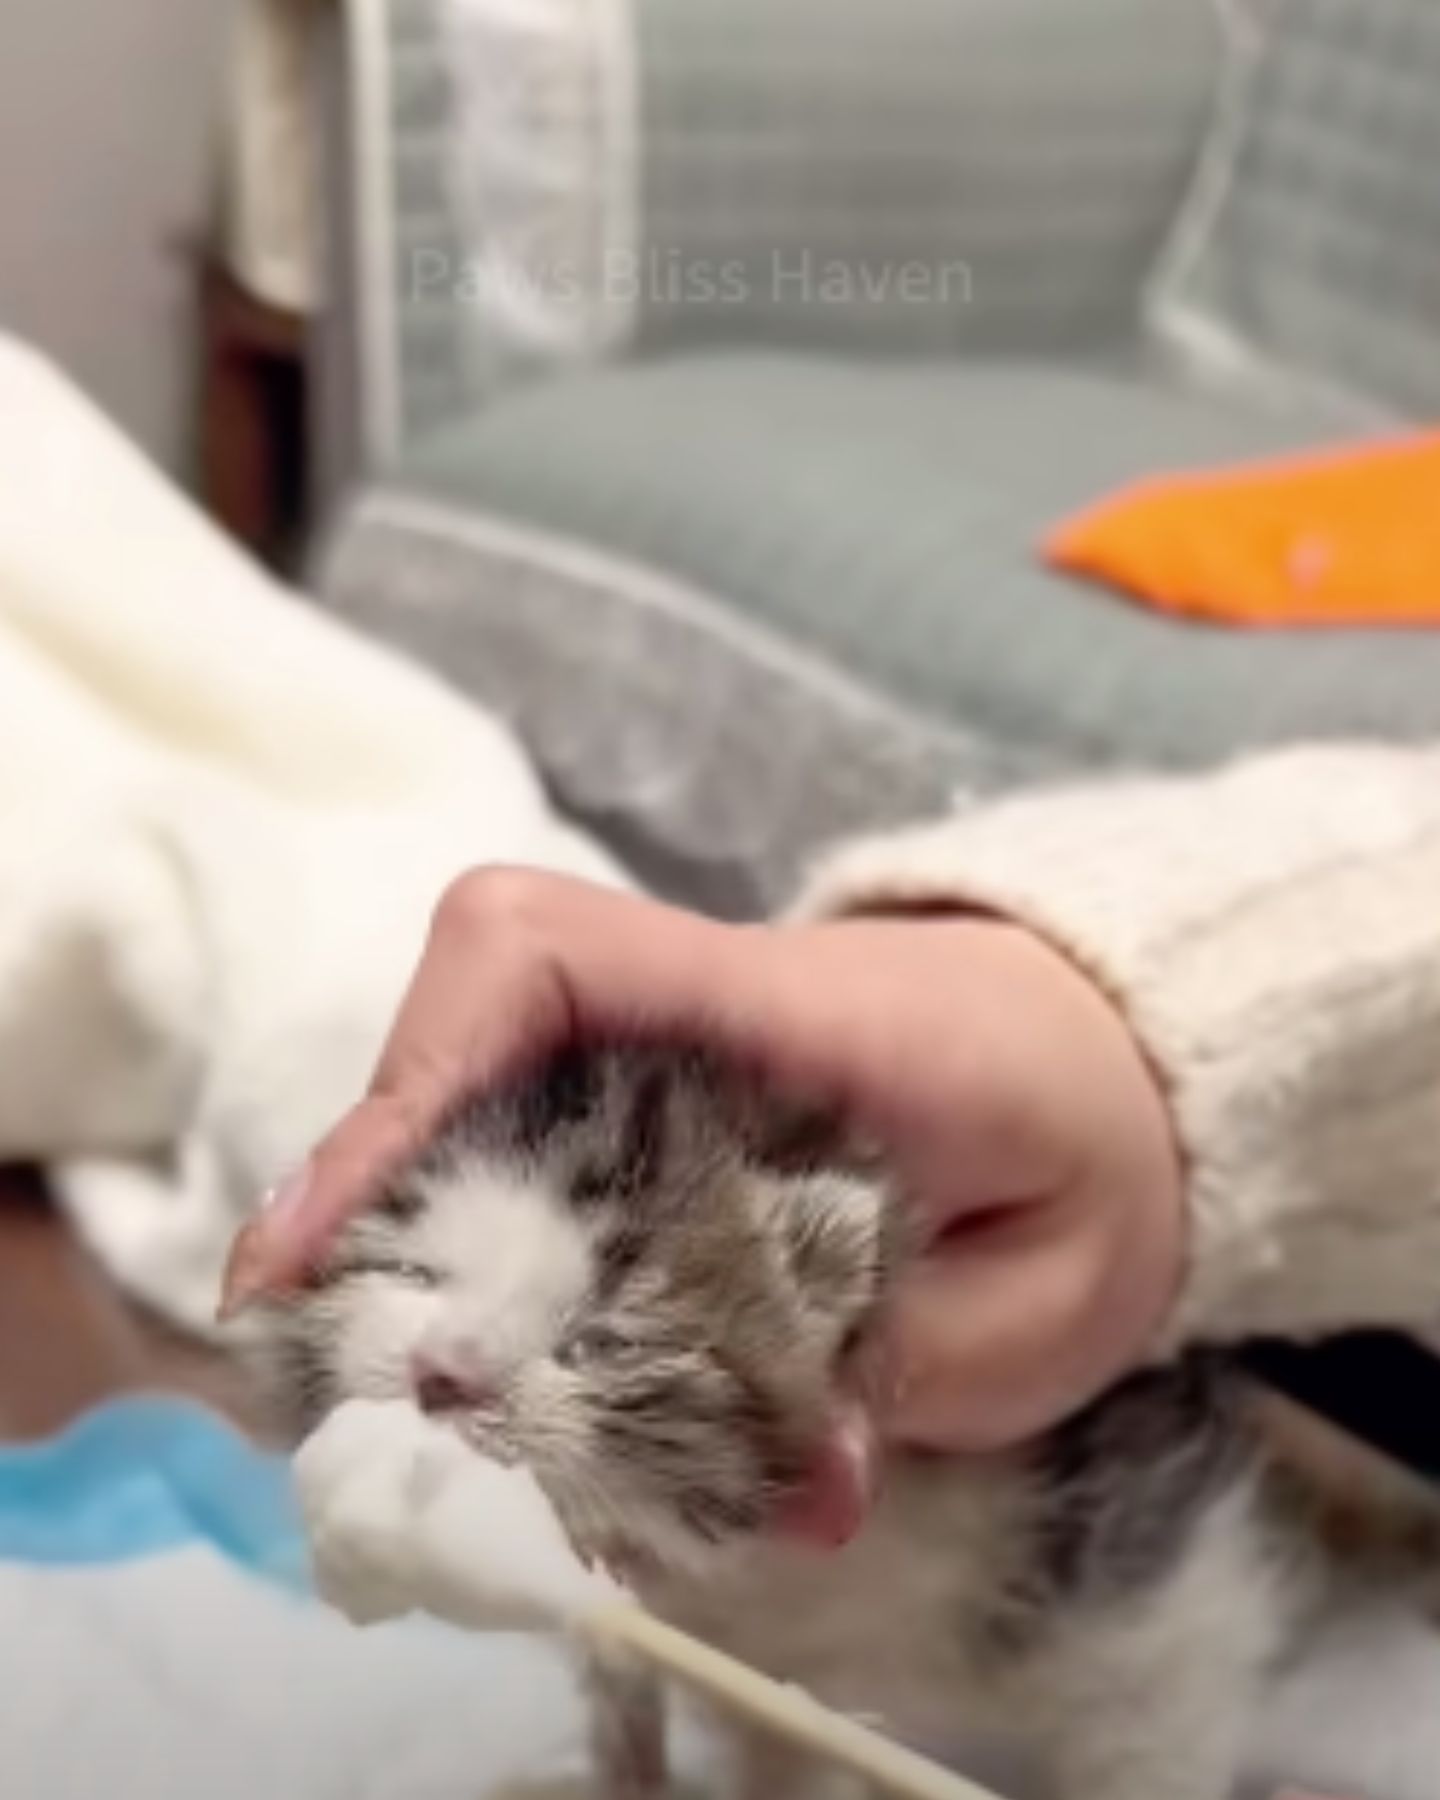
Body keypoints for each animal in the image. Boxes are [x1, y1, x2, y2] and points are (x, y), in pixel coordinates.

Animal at [255, 1044, 1382, 1800]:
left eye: (605, 1341)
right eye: (414, 1274)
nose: (443, 1375)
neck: (768, 1574)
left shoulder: (1146, 1549)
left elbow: (1154, 1717)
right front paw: (617, 1765)